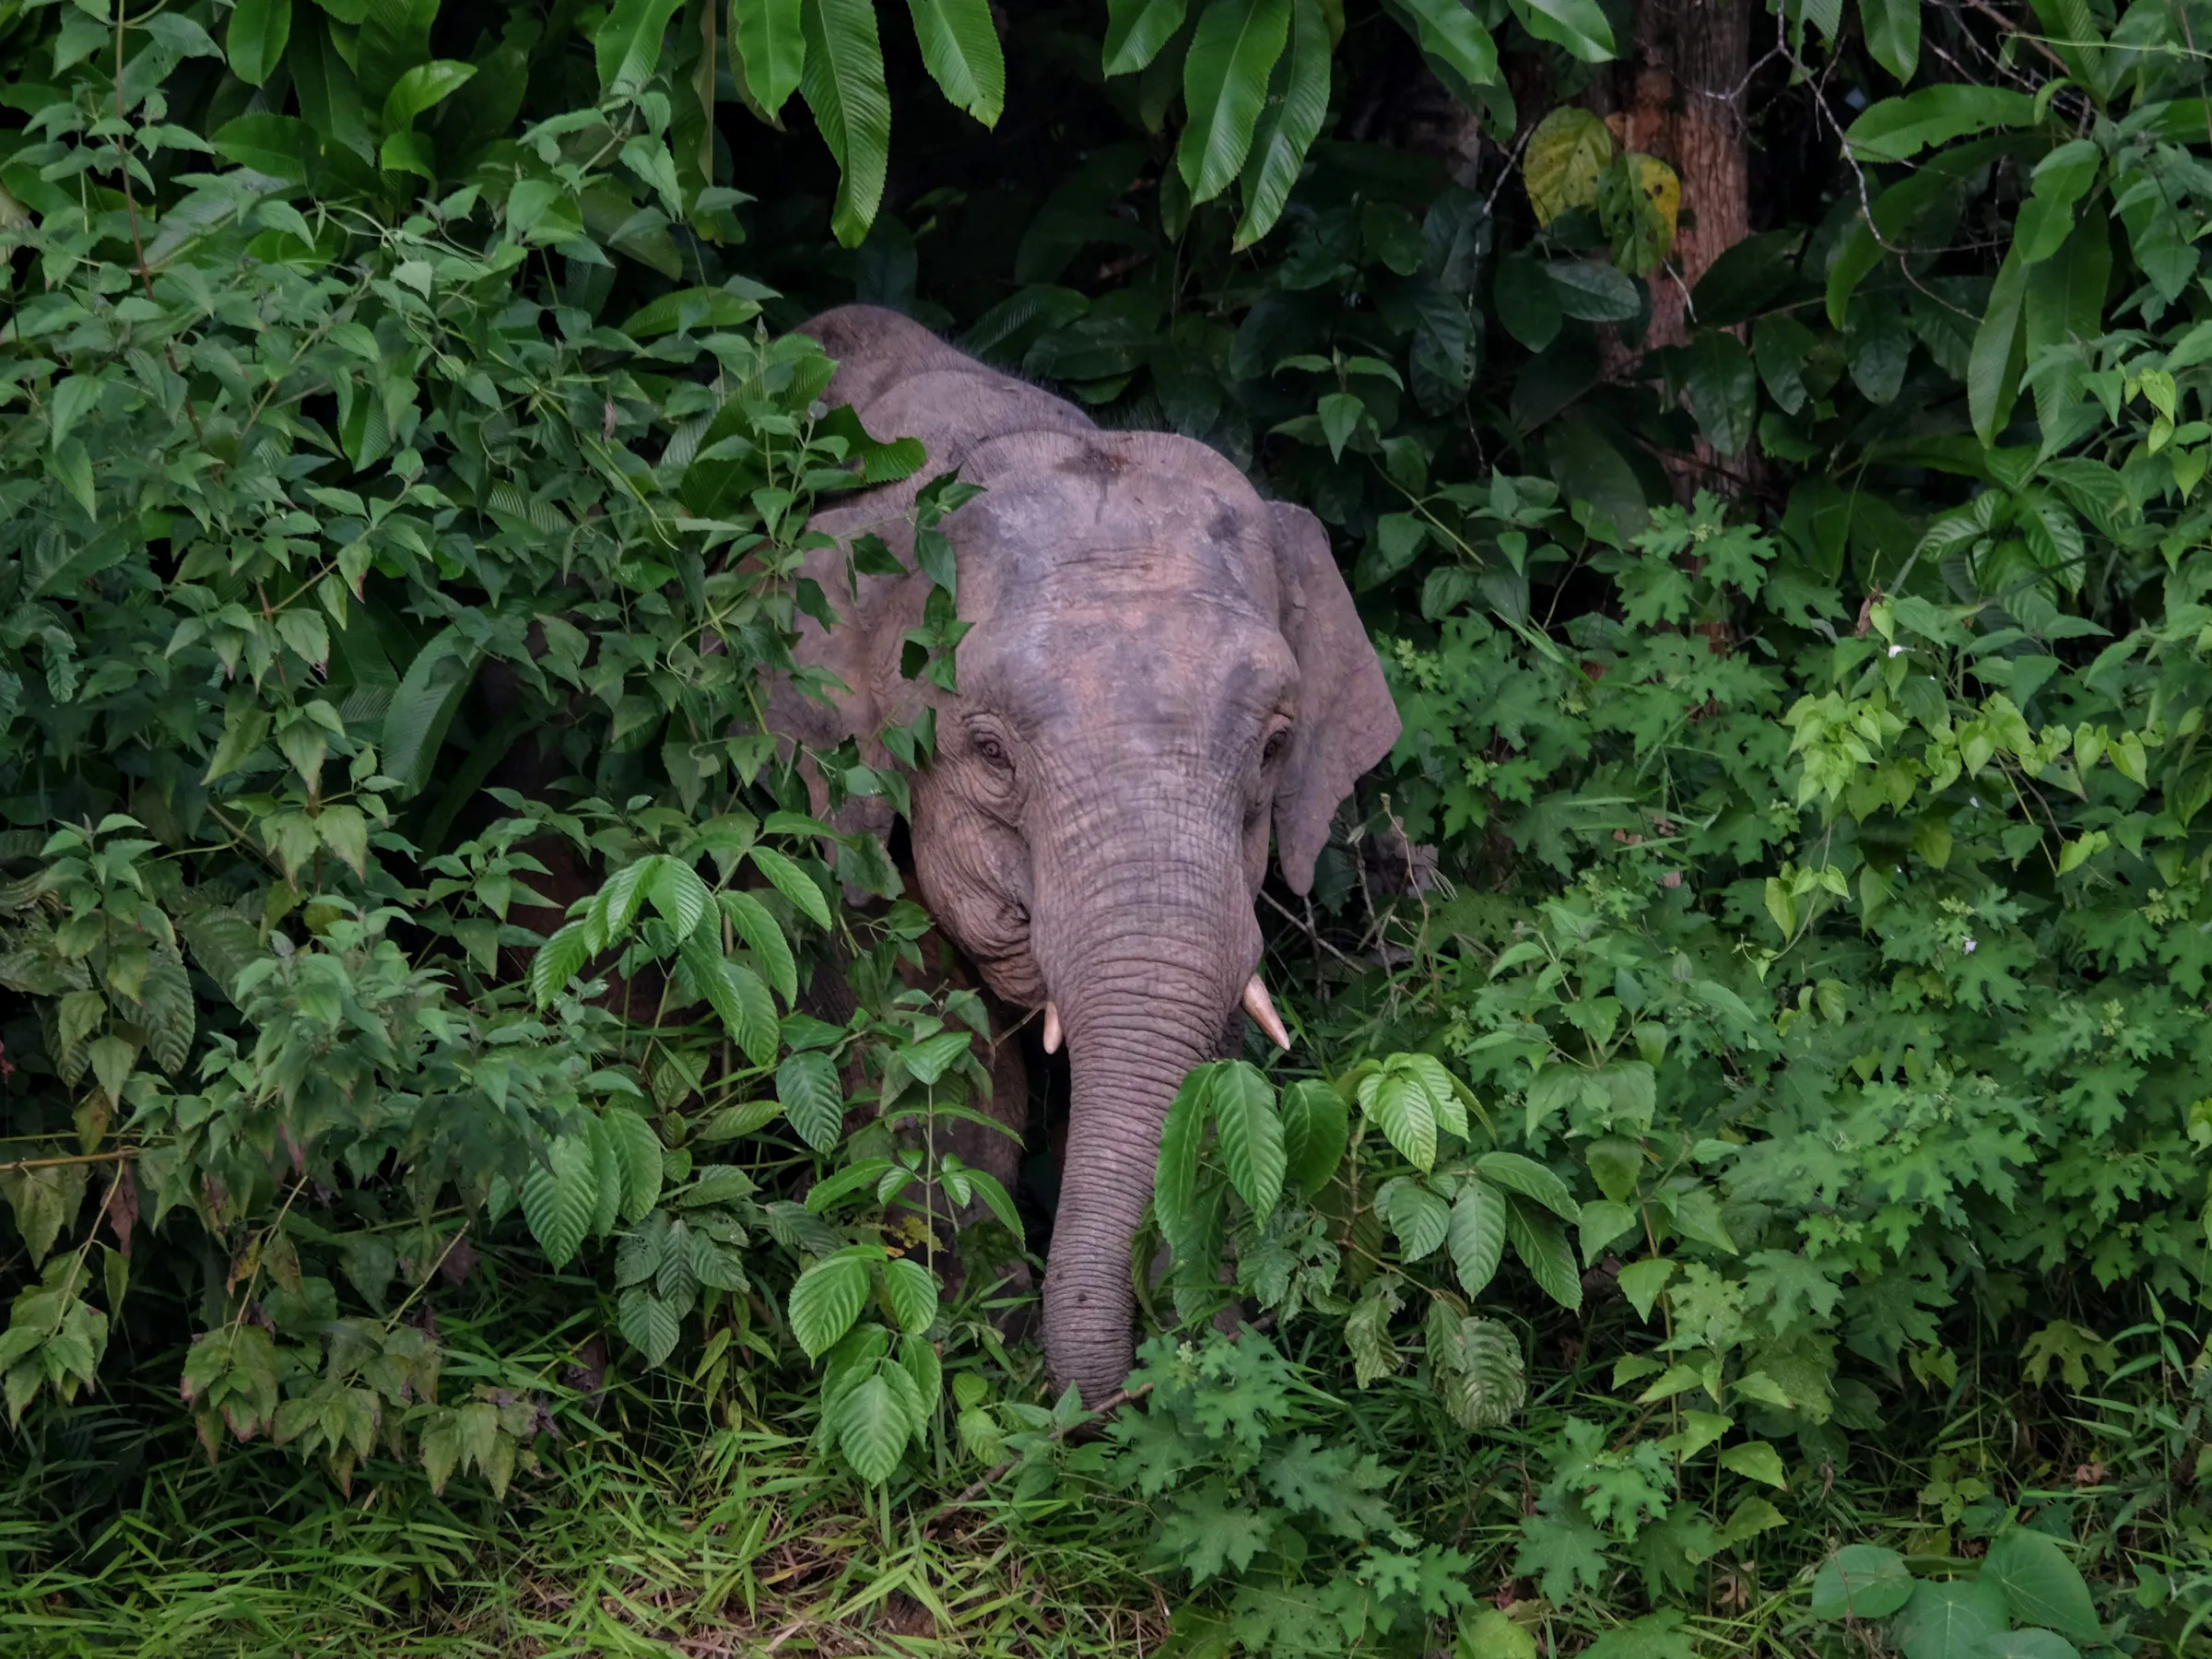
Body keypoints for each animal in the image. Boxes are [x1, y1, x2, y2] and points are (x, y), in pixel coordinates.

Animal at [769, 305, 1401, 1406]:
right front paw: (985, 1350)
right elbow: (941, 1062)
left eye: (1274, 747)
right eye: (987, 752)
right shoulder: (826, 813)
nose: (1141, 1380)